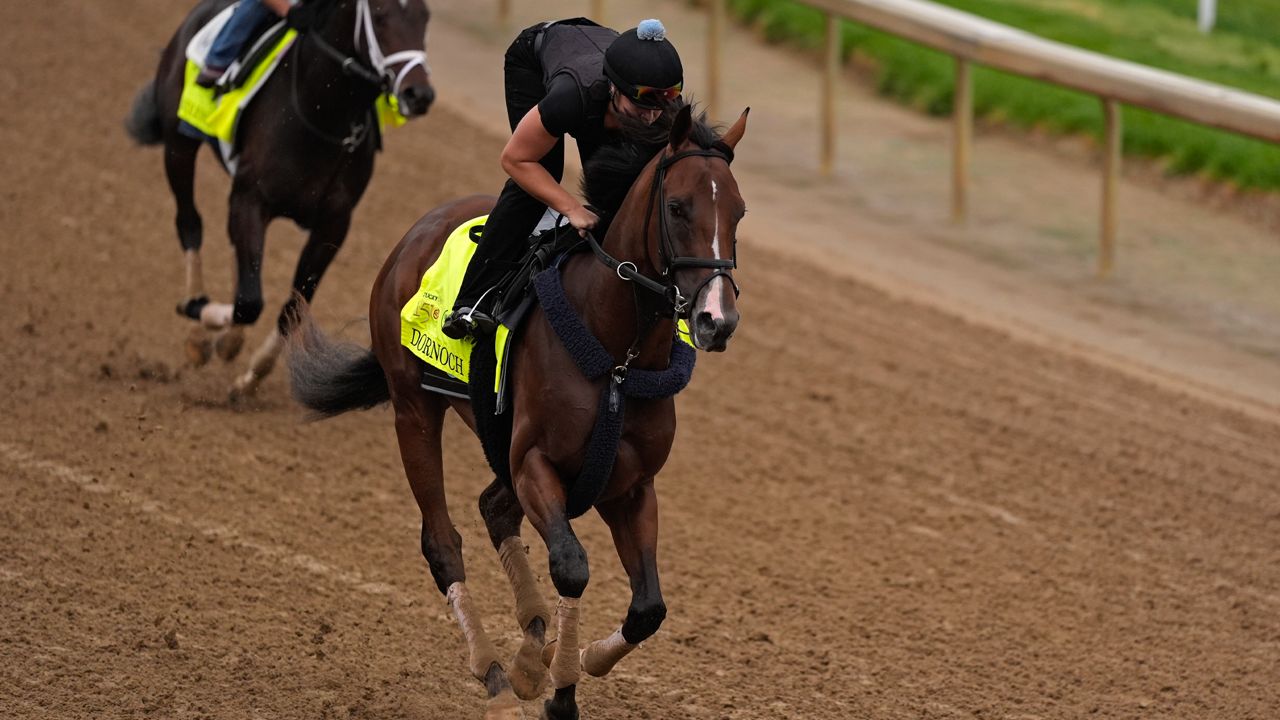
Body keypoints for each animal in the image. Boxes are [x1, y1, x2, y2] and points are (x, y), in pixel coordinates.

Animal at [125, 0, 435, 397]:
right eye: (380, 14)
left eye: (425, 17)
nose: (419, 95)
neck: (321, 114)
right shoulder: (250, 199)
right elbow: (249, 301)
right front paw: (215, 330)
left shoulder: (333, 224)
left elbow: (293, 304)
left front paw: (252, 374)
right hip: (179, 145)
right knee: (189, 222)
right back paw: (198, 319)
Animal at [285, 102, 747, 717]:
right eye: (677, 207)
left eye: (739, 212)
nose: (717, 320)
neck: (616, 356)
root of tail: (418, 231)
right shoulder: (535, 464)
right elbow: (572, 567)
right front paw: (560, 690)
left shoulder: (629, 485)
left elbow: (649, 607)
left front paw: (569, 661)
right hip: (414, 408)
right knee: (442, 541)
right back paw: (495, 672)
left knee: (493, 508)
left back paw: (530, 647)